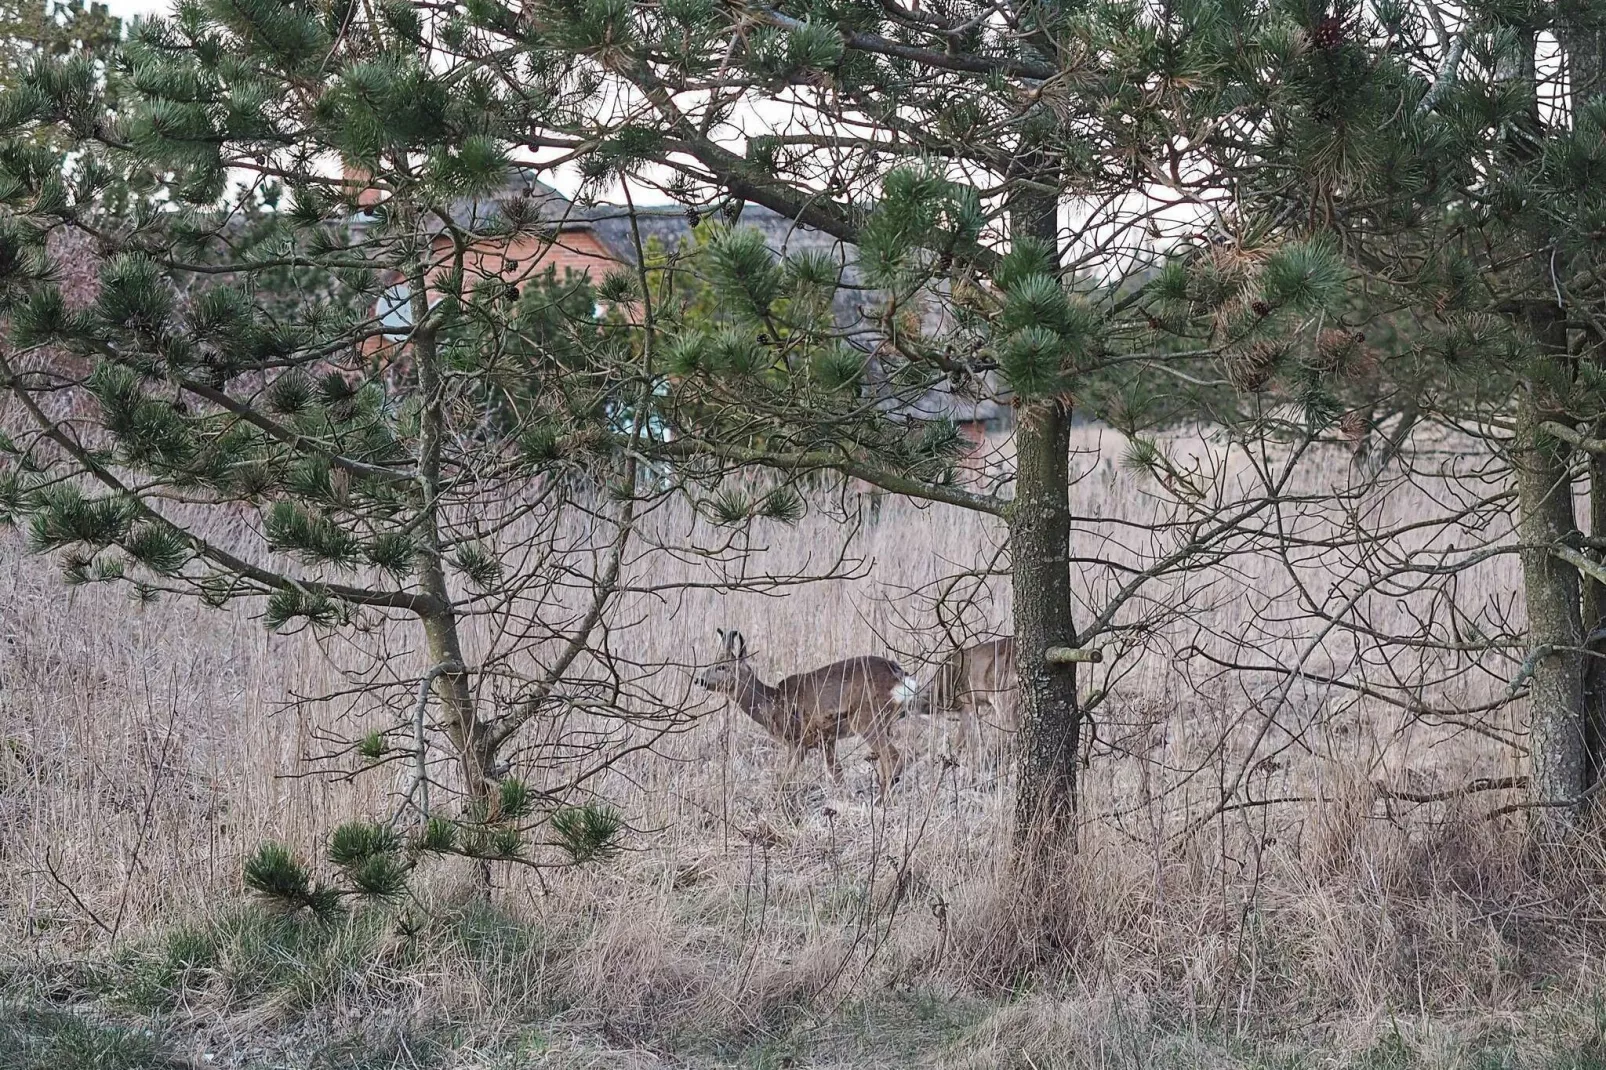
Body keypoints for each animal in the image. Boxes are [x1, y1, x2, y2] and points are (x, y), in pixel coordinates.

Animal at [697, 626, 925, 790]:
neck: (773, 704)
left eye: (722, 667)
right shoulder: (827, 740)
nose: (699, 679)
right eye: (711, 663)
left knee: (894, 759)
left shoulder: (798, 739)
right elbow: (837, 775)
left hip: (866, 718)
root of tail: (900, 676)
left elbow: (785, 778)